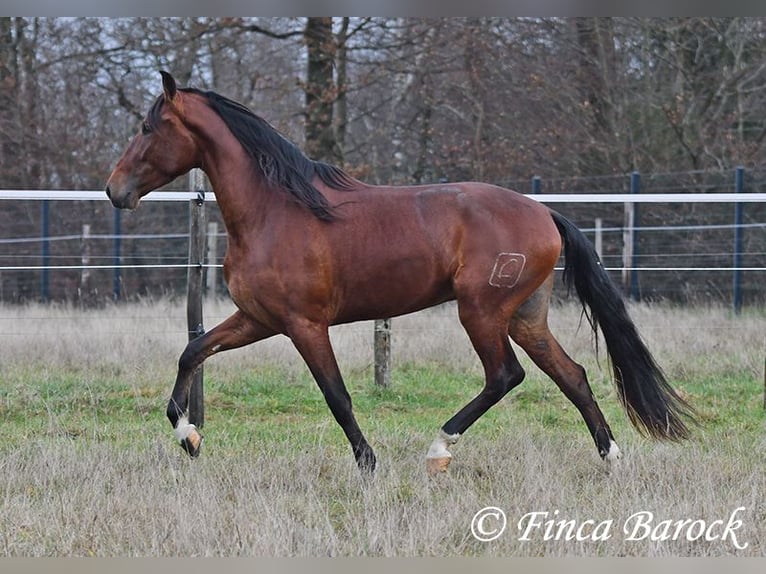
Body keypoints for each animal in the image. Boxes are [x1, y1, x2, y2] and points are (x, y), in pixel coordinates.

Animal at [105, 71, 694, 475]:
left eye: (147, 127)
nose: (115, 190)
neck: (276, 209)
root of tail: (543, 212)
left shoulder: (304, 325)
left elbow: (337, 396)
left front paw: (368, 465)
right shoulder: (258, 319)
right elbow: (193, 350)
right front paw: (188, 435)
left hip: (481, 312)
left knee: (506, 375)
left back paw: (438, 451)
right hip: (526, 317)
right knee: (572, 375)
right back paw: (611, 457)